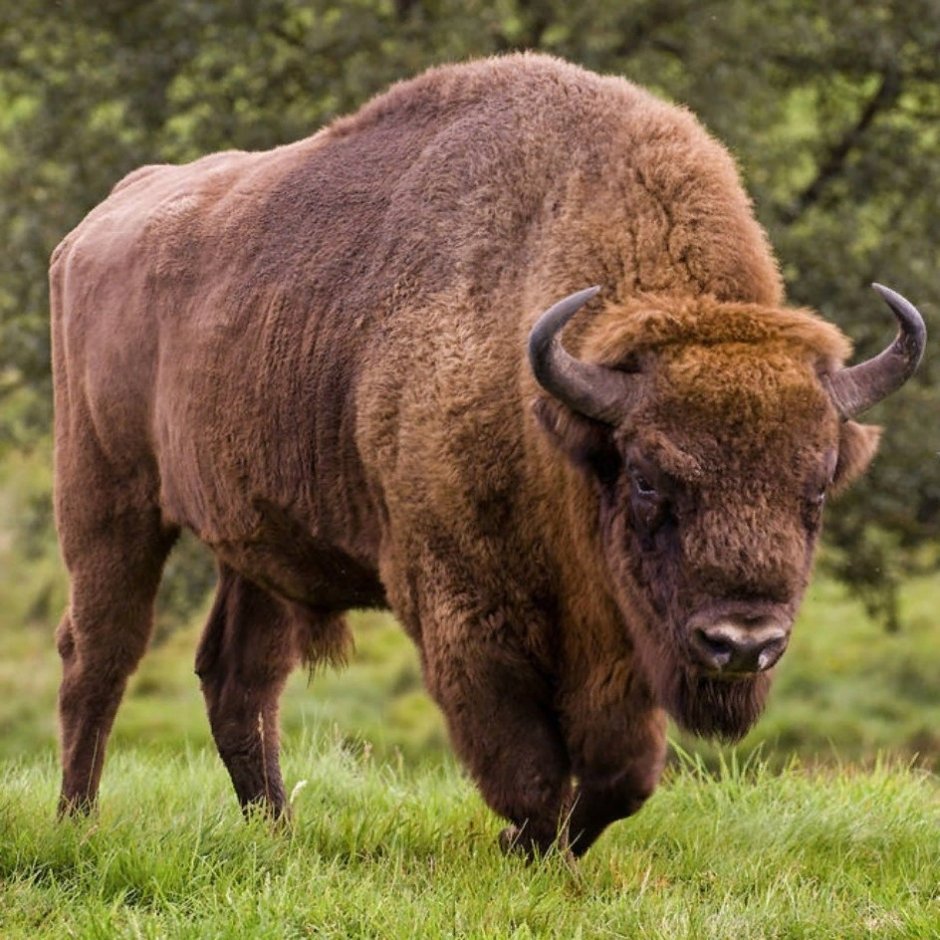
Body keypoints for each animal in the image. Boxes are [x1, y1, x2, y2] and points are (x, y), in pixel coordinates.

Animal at [50, 53, 924, 856]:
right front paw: (520, 843)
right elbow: (528, 764)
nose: (742, 643)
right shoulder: (467, 610)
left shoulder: (615, 639)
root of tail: (95, 226)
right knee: (100, 655)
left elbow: (620, 777)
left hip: (257, 543)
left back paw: (278, 834)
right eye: (648, 479)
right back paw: (78, 824)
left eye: (817, 490)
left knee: (239, 678)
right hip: (108, 502)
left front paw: (542, 845)